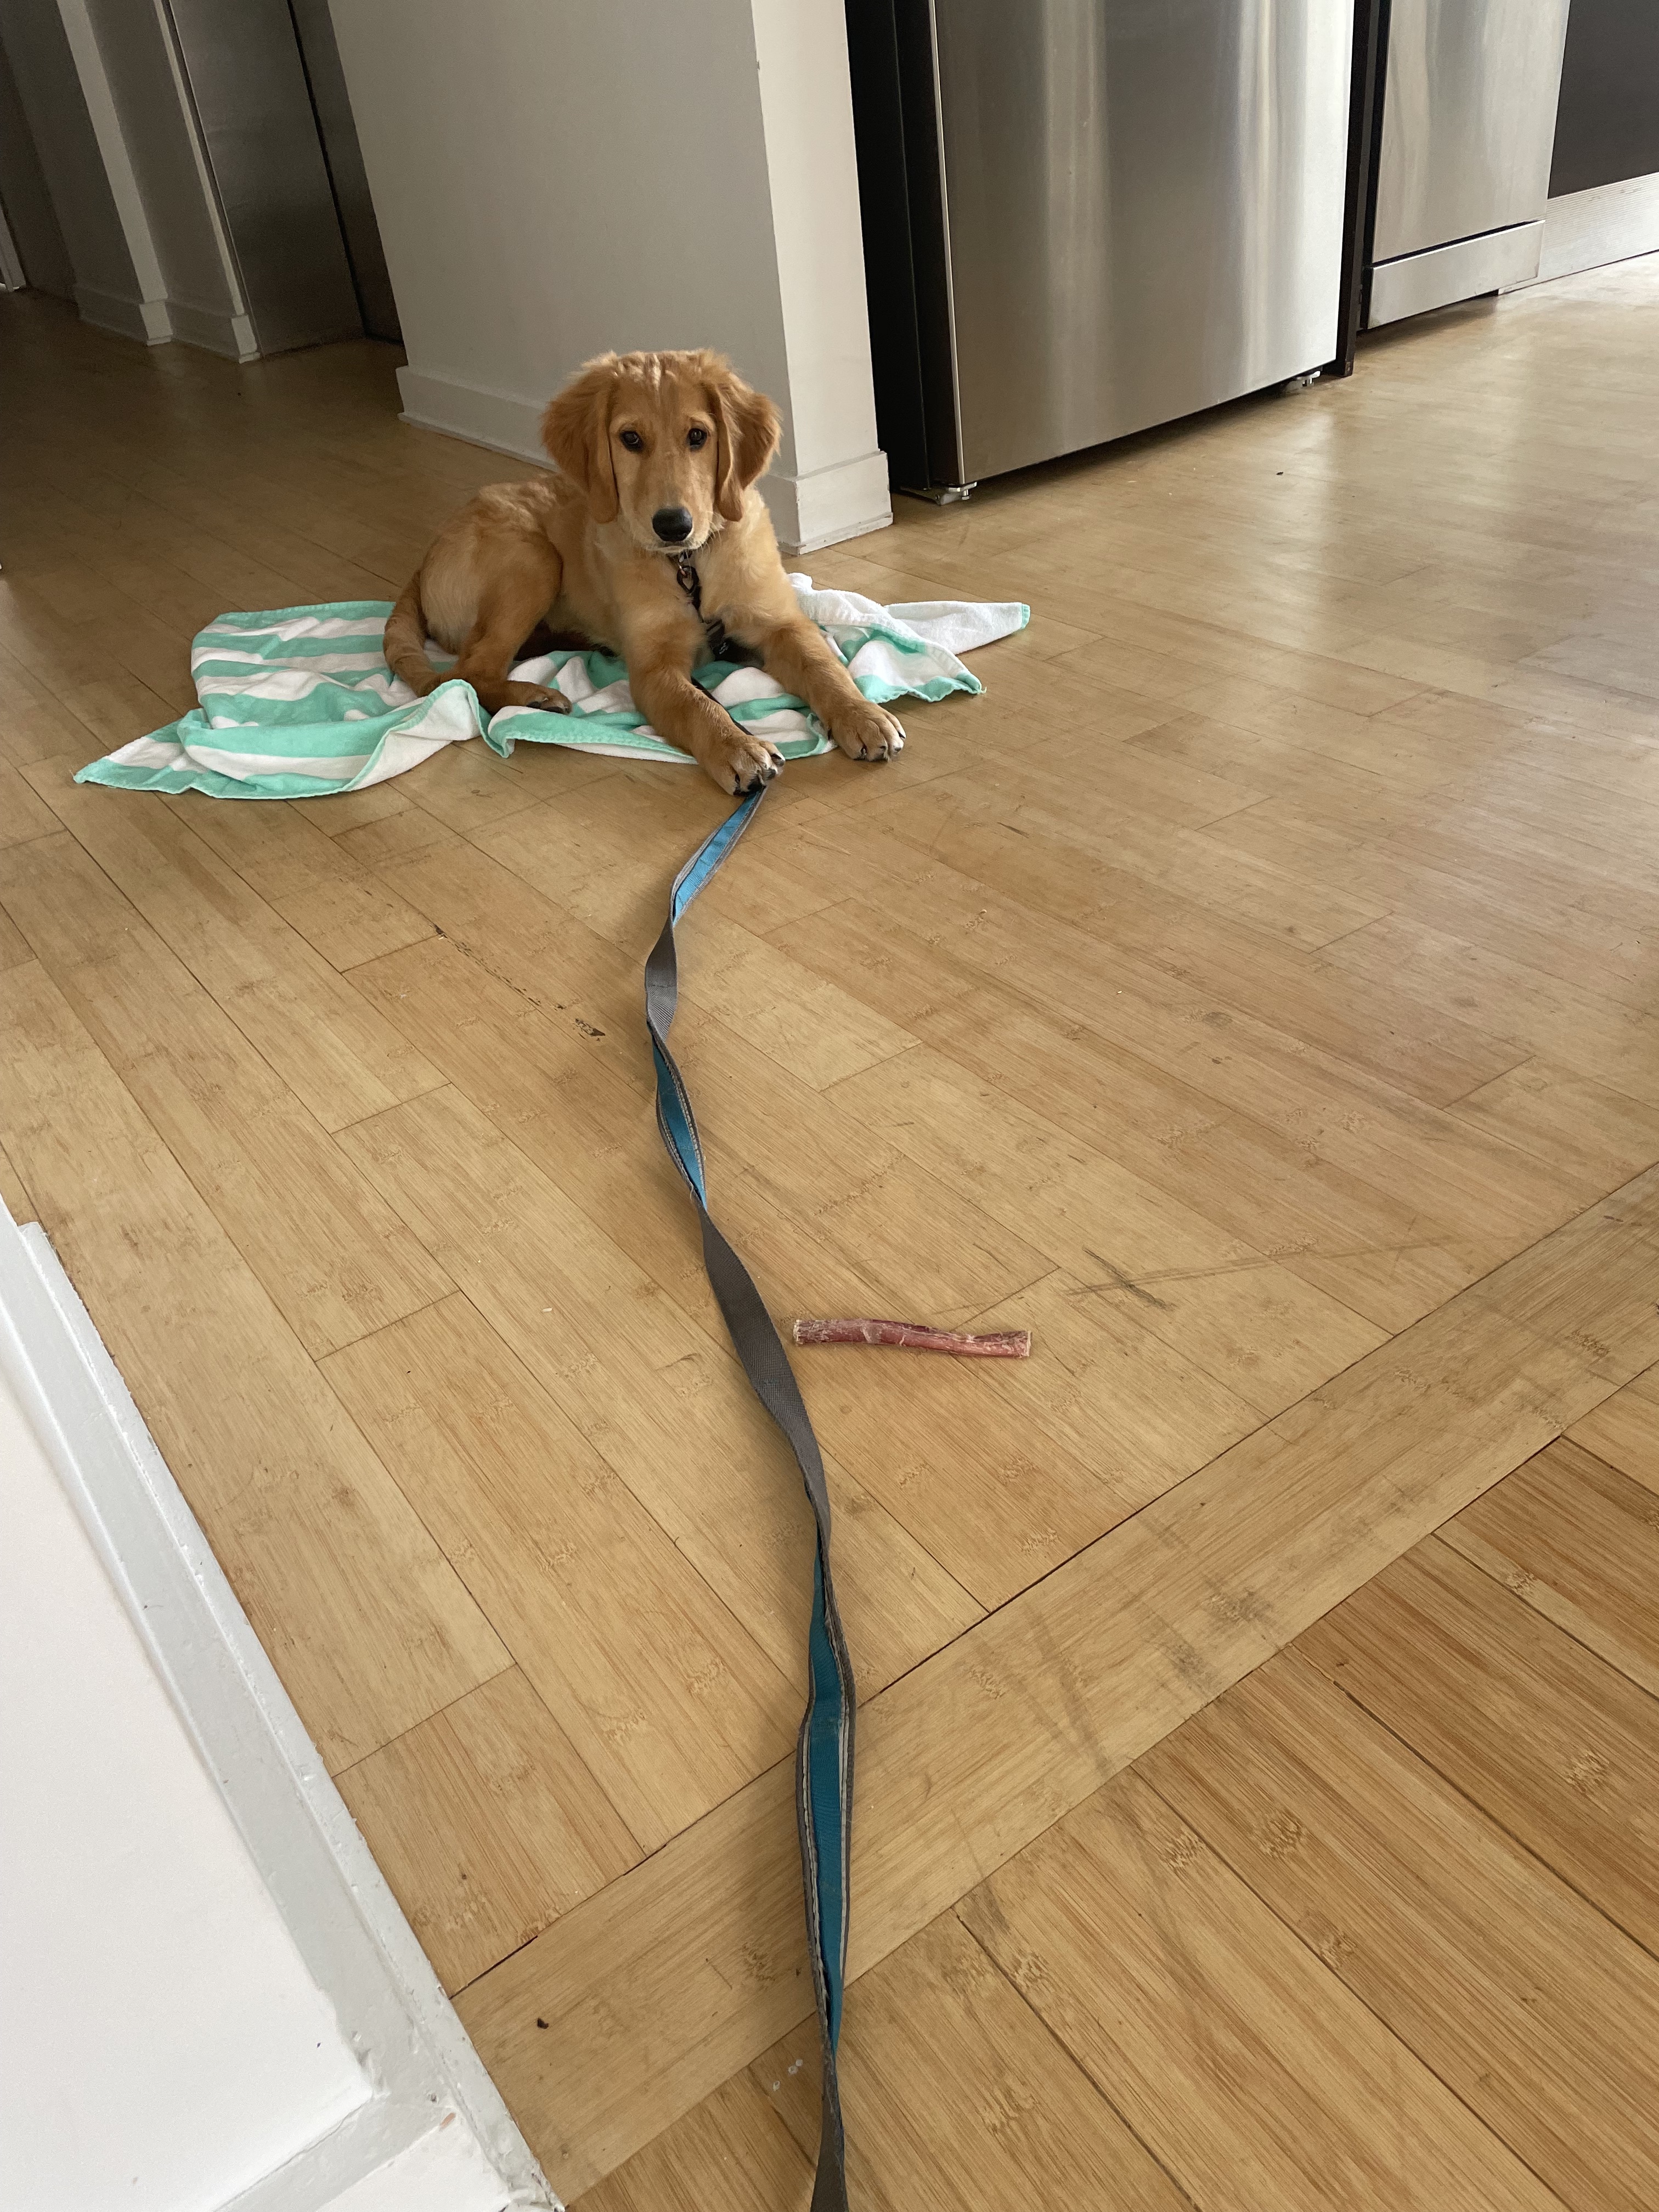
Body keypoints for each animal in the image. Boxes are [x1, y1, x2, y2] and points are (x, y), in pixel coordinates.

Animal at [387, 345, 911, 796]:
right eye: (631, 439)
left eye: (698, 436)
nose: (673, 526)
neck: (689, 566)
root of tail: (428, 555)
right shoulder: (654, 668)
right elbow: (698, 706)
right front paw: (737, 747)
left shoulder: (779, 623)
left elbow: (823, 667)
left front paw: (862, 715)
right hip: (531, 559)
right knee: (466, 672)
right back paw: (532, 695)